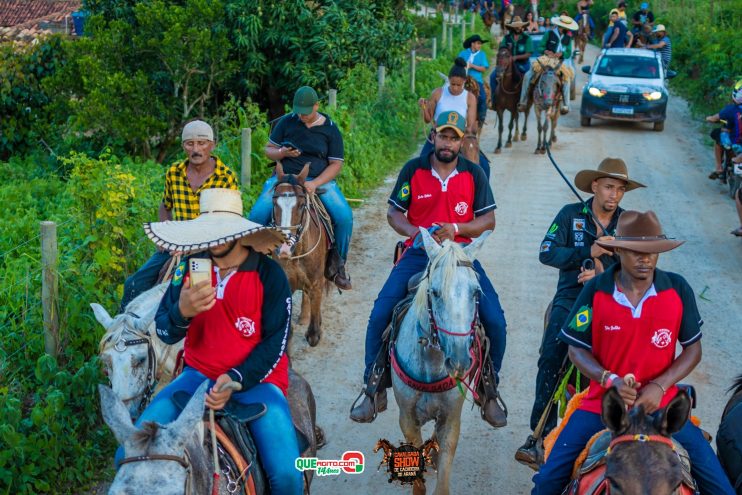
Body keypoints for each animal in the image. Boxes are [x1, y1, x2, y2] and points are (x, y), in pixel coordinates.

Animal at [274, 164, 330, 348]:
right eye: (274, 203)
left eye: (301, 205)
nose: (284, 249)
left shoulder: (316, 282)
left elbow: (313, 336)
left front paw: (315, 327)